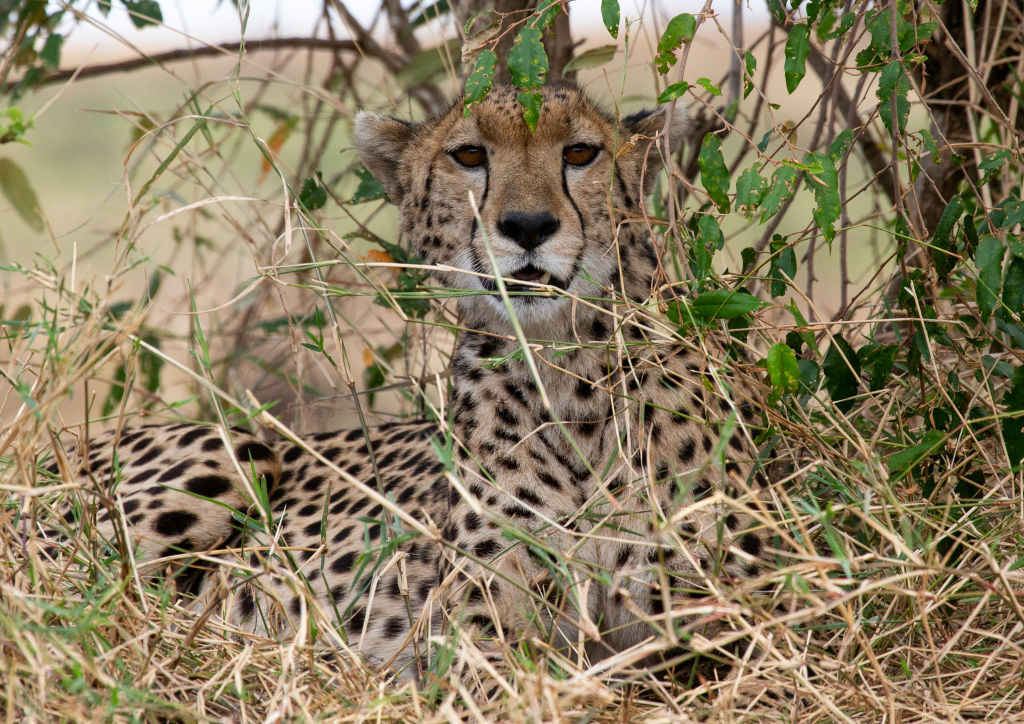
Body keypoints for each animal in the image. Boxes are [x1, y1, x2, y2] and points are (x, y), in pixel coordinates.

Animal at [41, 83, 770, 679]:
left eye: (581, 153)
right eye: (469, 156)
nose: (528, 226)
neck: (570, 371)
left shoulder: (735, 613)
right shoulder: (472, 633)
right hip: (233, 452)